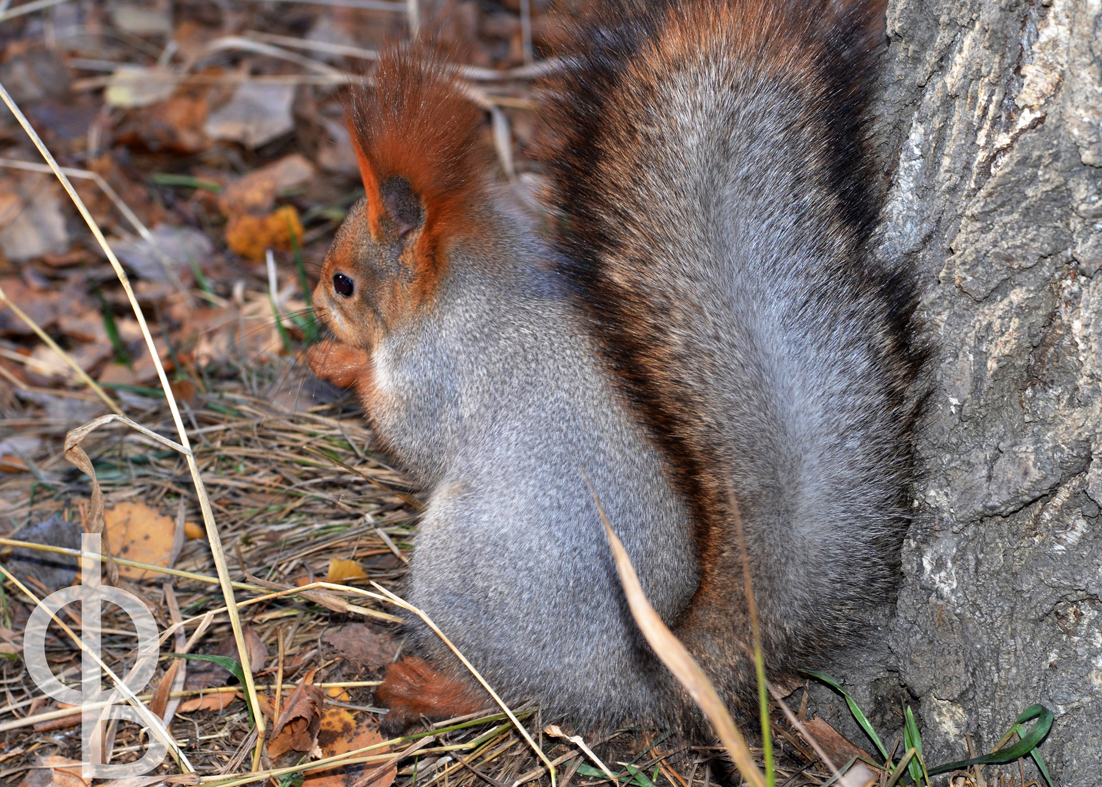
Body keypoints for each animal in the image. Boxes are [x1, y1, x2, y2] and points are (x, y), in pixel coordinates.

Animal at [306, 0, 925, 731]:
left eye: (344, 282)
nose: (313, 300)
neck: (477, 286)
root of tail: (625, 682)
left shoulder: (442, 371)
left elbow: (411, 437)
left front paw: (337, 360)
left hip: (463, 573)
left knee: (503, 690)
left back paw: (427, 688)